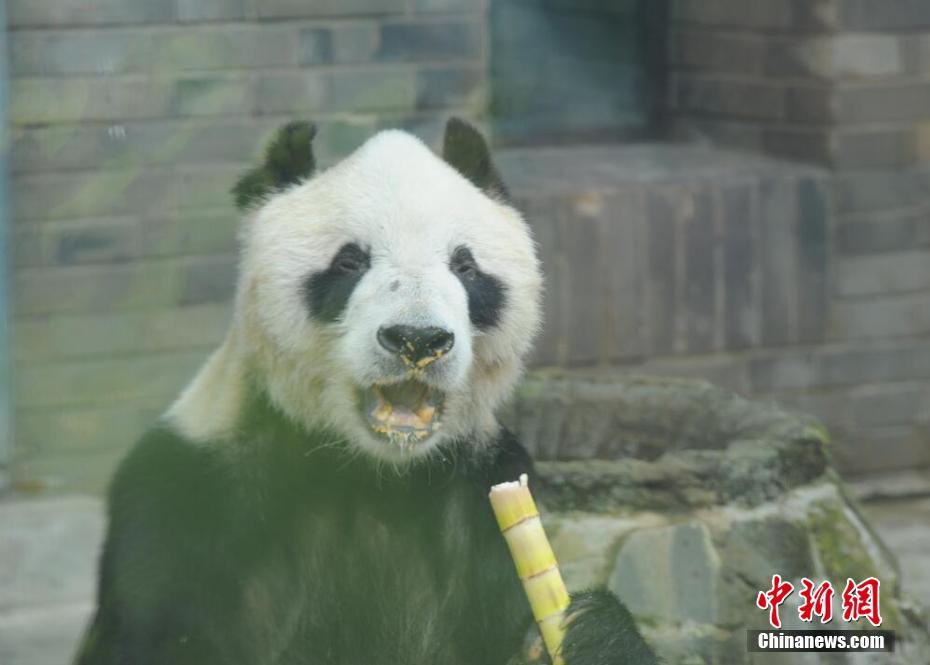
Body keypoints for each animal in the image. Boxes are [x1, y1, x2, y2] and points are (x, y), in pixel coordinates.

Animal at [75, 118, 658, 665]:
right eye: (350, 261)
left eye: (465, 266)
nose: (418, 340)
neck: (373, 472)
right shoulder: (190, 499)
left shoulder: (483, 495)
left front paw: (596, 634)